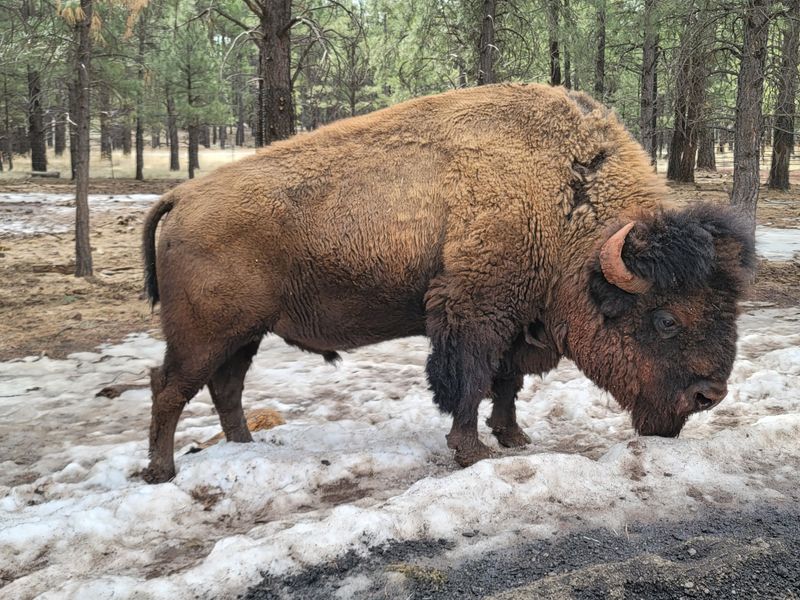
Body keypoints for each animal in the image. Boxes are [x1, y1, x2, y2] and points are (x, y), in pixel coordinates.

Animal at [141, 84, 754, 483]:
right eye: (666, 318)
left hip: (242, 335)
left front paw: (514, 437)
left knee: (225, 388)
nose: (709, 395)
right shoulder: (474, 312)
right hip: (203, 335)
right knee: (170, 387)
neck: (565, 202)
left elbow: (506, 384)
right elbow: (471, 380)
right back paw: (162, 471)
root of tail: (182, 195)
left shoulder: (518, 322)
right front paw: (472, 452)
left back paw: (245, 447)